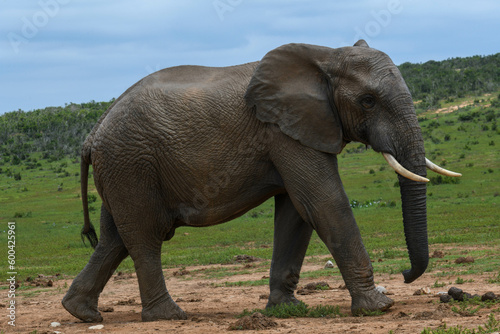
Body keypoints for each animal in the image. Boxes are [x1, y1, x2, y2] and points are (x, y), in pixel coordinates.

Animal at [62, 39, 460, 324]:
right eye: (368, 101)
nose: (405, 274)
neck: (325, 55)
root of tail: (92, 134)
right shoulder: (283, 131)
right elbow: (323, 203)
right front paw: (378, 306)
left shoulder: (292, 130)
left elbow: (296, 214)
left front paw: (287, 310)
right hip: (131, 164)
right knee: (145, 236)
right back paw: (168, 316)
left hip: (122, 170)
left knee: (114, 239)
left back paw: (82, 312)